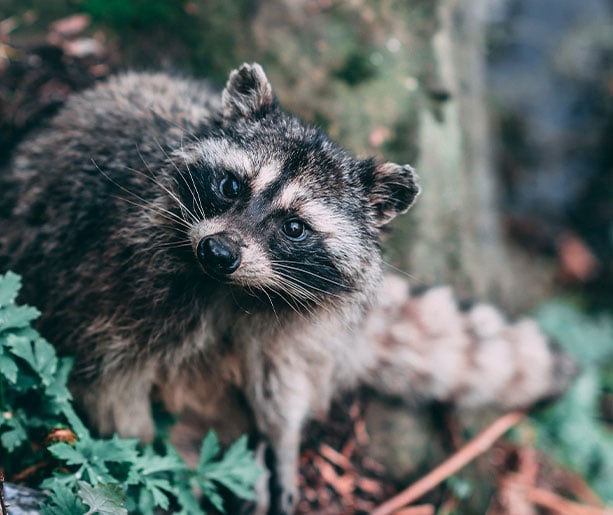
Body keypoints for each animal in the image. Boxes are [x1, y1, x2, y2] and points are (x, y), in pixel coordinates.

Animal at [0, 63, 572, 512]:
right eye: (231, 186)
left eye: (295, 227)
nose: (218, 251)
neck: (235, 289)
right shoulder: (118, 275)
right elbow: (109, 380)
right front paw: (147, 456)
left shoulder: (303, 323)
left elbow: (284, 382)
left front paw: (283, 438)